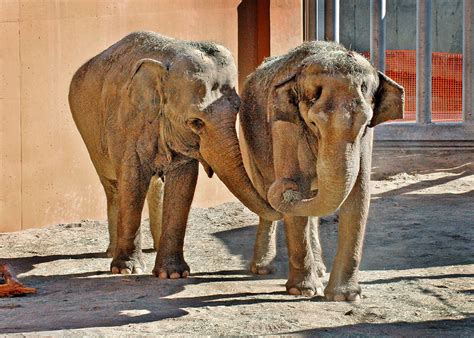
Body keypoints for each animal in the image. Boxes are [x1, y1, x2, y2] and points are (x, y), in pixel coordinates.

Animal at [68, 30, 280, 278]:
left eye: (238, 108)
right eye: (196, 122)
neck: (167, 61)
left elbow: (183, 183)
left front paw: (173, 274)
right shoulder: (125, 123)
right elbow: (132, 181)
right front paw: (127, 270)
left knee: (154, 185)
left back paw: (154, 246)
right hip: (88, 131)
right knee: (112, 185)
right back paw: (112, 252)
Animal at [241, 41, 404, 302]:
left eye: (364, 125)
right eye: (313, 124)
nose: (285, 187)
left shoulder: (365, 141)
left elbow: (359, 196)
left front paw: (346, 297)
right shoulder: (285, 127)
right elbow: (298, 197)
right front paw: (303, 291)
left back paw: (319, 268)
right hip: (250, 138)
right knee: (264, 192)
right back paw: (262, 268)